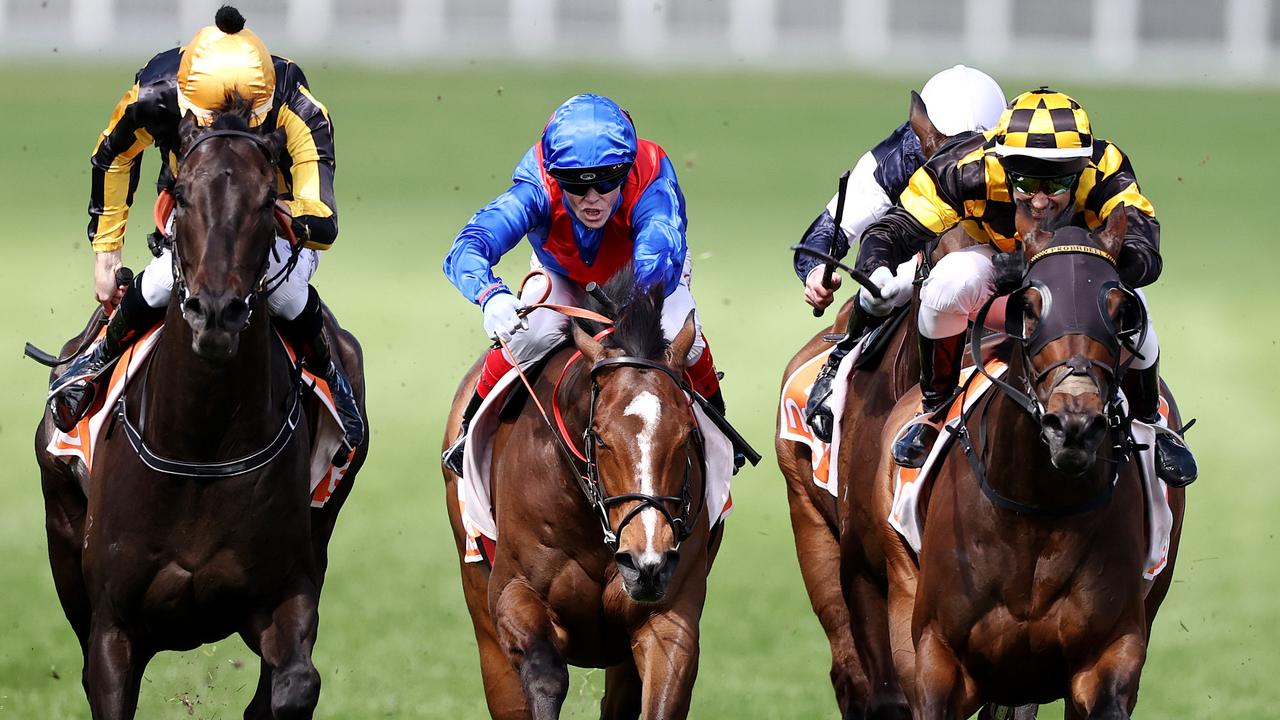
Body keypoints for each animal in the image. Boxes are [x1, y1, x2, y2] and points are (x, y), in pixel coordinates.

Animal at [31, 102, 371, 717]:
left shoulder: (287, 591)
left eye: (267, 199)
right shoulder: (113, 629)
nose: (216, 312)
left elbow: (294, 684)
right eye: (183, 194)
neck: (200, 446)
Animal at [442, 270, 721, 717]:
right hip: (483, 617)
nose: (646, 562)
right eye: (601, 437)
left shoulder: (669, 612)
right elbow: (546, 675)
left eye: (686, 435)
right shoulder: (513, 595)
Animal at [860, 212, 1187, 717]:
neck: (1036, 511)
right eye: (1030, 306)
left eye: (1119, 313)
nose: (1073, 424)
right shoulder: (938, 659)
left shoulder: (1111, 654)